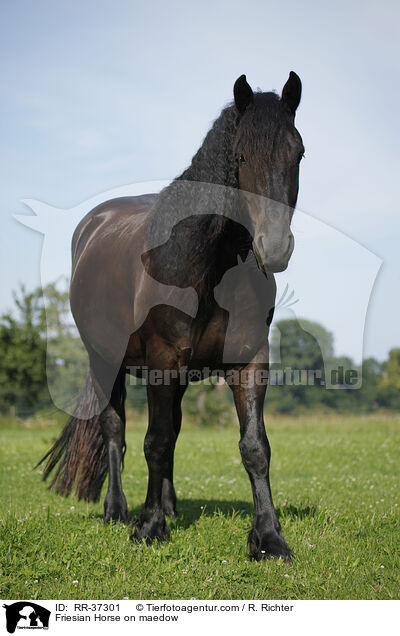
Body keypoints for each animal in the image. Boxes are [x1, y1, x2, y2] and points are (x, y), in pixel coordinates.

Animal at [39, 72, 304, 560]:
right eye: (240, 156)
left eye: (298, 153)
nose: (274, 248)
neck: (208, 268)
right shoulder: (162, 361)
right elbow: (154, 443)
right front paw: (148, 528)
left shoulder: (249, 361)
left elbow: (254, 447)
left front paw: (269, 538)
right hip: (105, 362)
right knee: (115, 429)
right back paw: (118, 510)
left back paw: (169, 505)